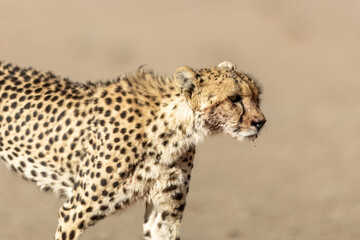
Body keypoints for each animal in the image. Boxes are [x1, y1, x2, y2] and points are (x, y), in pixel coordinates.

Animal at [0, 59, 264, 238]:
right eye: (234, 98)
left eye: (257, 97)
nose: (260, 122)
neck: (176, 127)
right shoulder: (74, 211)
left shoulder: (165, 213)